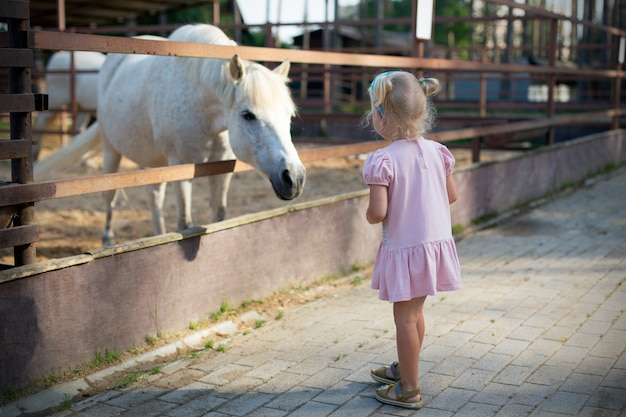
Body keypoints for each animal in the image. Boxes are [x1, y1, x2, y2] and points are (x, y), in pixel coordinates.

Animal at [97, 24, 308, 245]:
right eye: (247, 115)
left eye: (289, 115)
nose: (294, 178)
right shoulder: (180, 166)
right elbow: (185, 224)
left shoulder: (221, 168)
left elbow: (218, 218)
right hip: (110, 151)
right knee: (109, 196)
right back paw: (107, 240)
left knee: (154, 196)